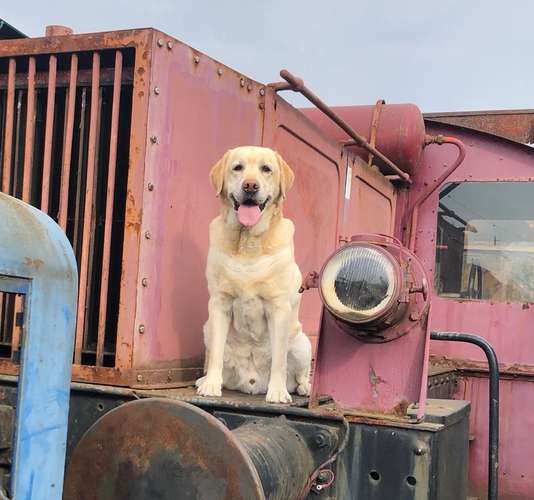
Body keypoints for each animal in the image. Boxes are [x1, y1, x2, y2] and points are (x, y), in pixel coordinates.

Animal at [197, 145, 314, 402]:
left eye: (266, 169)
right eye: (237, 167)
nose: (250, 186)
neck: (247, 242)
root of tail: (251, 383)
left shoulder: (278, 307)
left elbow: (279, 360)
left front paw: (277, 392)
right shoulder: (219, 303)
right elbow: (216, 354)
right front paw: (211, 384)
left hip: (302, 343)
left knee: (300, 373)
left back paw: (304, 388)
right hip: (207, 328)